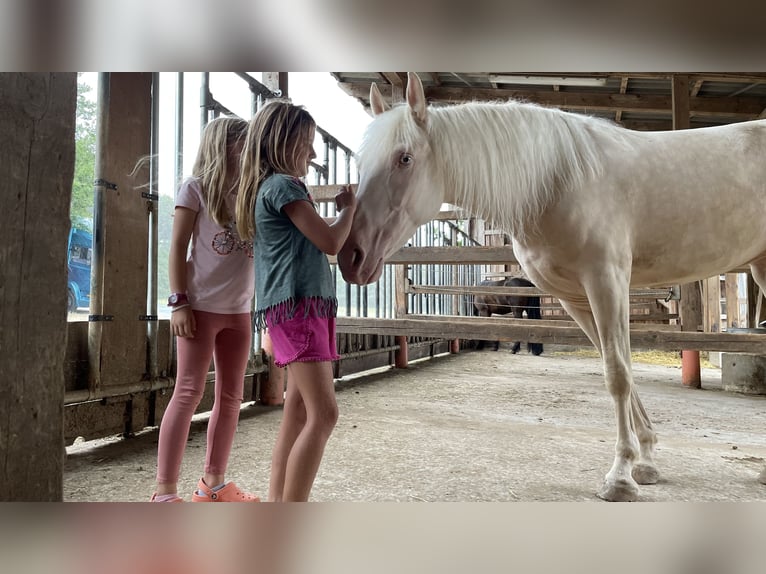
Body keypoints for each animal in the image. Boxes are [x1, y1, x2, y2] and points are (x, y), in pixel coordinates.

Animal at [338, 73, 766, 504]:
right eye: (362, 162)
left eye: (404, 158)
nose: (351, 257)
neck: (557, 182)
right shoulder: (576, 296)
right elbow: (618, 365)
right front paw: (645, 459)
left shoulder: (607, 281)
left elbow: (618, 374)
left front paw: (620, 477)